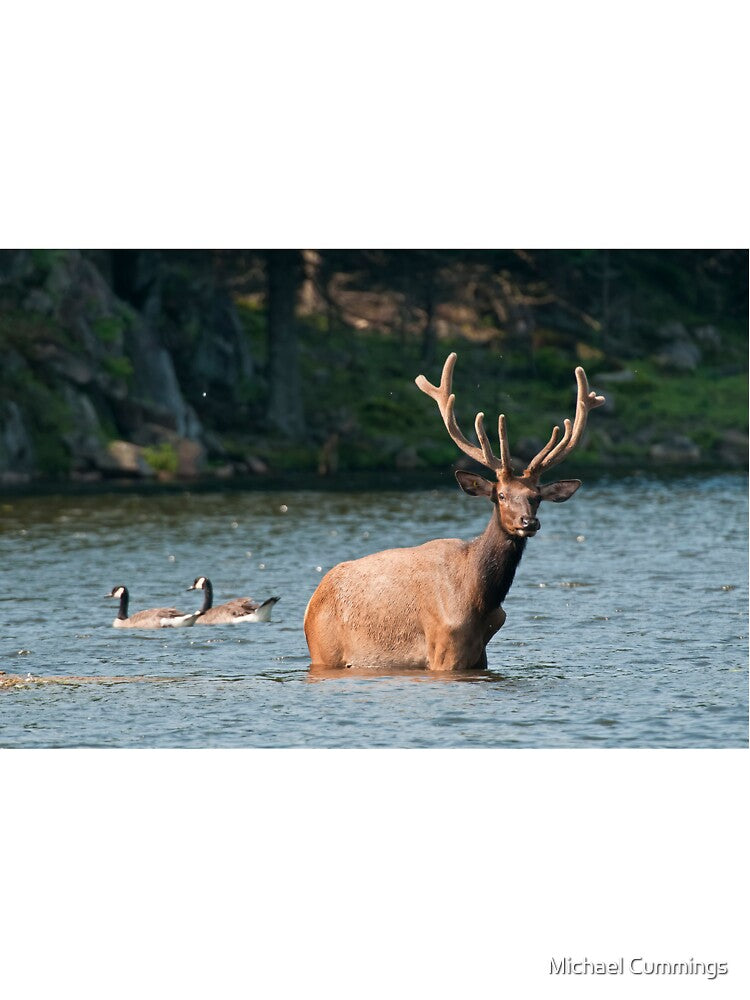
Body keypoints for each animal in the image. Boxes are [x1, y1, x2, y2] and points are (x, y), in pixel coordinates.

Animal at [304, 353, 605, 671]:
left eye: (536, 497)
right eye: (500, 495)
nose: (529, 521)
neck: (480, 600)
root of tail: (311, 603)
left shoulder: (480, 655)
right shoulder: (444, 648)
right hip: (324, 651)